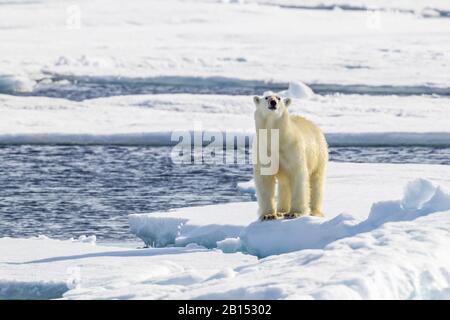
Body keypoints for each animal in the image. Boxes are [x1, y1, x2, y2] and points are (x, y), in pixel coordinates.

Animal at [253, 91, 326, 219]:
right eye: (266, 97)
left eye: (279, 98)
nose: (273, 102)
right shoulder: (263, 149)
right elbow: (265, 178)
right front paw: (268, 215)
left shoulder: (292, 148)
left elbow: (298, 175)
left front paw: (295, 212)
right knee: (284, 184)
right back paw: (281, 211)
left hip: (318, 155)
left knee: (316, 181)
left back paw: (315, 212)